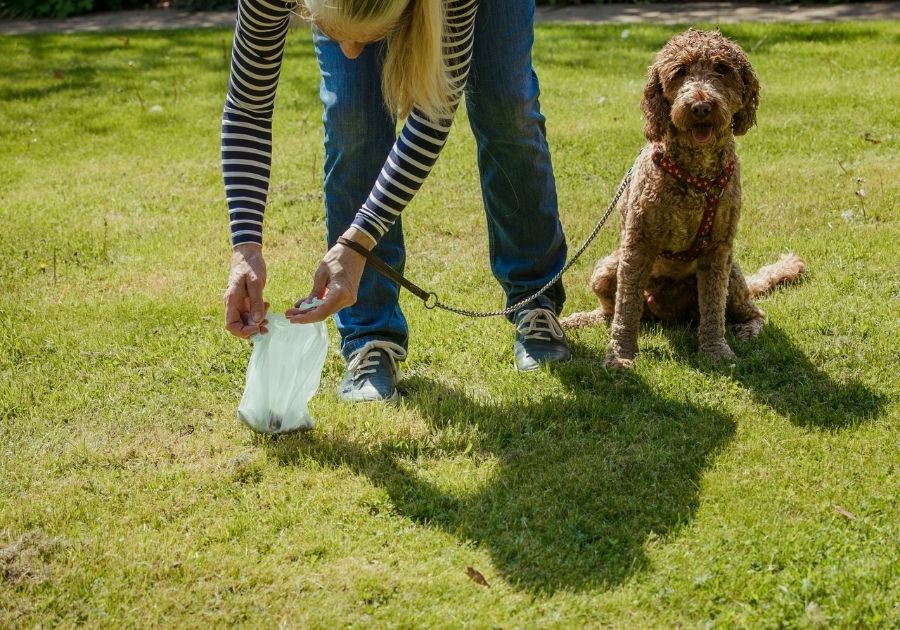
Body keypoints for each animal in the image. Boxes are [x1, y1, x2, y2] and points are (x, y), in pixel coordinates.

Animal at [568, 29, 804, 368]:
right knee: (609, 312)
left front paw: (715, 350)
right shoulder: (637, 245)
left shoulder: (718, 250)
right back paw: (577, 320)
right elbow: (626, 307)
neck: (696, 175)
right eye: (679, 71)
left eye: (721, 69)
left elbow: (713, 308)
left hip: (732, 277)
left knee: (753, 312)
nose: (701, 107)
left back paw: (747, 329)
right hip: (605, 269)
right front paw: (620, 356)